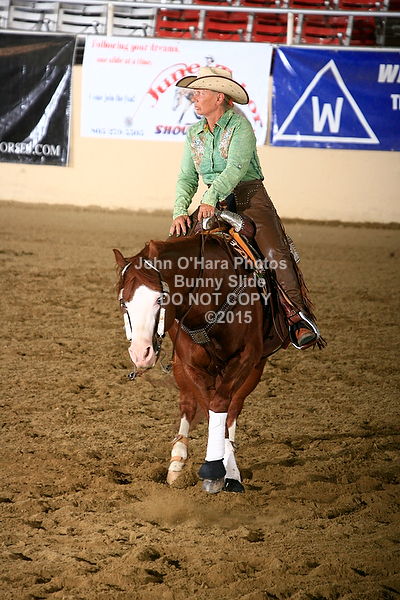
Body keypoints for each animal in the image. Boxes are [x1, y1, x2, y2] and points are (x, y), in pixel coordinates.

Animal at [113, 222, 291, 493]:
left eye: (159, 298)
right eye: (124, 301)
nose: (141, 353)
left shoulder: (247, 358)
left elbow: (220, 406)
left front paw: (223, 471)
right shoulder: (190, 364)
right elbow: (208, 408)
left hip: (254, 367)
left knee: (233, 406)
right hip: (181, 367)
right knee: (188, 404)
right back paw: (177, 462)